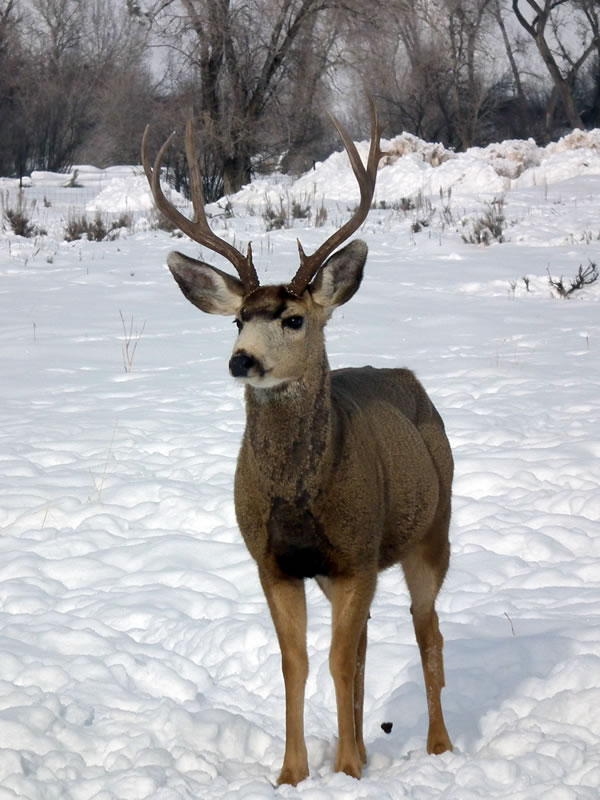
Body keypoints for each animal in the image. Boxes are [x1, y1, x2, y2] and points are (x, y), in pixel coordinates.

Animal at [141, 99, 453, 786]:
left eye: (293, 319)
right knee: (363, 648)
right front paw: (294, 773)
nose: (242, 361)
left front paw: (348, 772)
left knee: (426, 632)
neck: (297, 498)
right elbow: (299, 664)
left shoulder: (356, 550)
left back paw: (441, 747)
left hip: (431, 530)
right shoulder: (275, 562)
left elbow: (335, 662)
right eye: (237, 318)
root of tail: (411, 380)